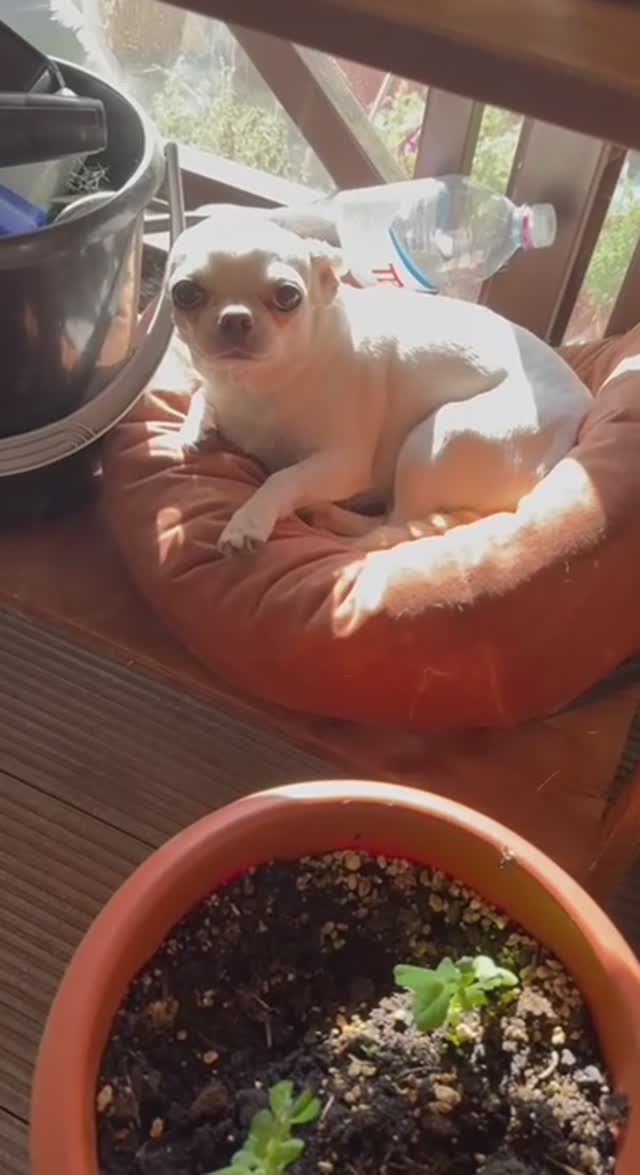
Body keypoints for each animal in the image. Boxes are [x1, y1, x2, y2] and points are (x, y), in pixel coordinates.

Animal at [166, 207, 592, 555]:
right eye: (185, 292)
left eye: (288, 296)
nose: (235, 318)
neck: (256, 383)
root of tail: (581, 409)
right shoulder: (218, 386)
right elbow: (200, 394)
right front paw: (194, 427)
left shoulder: (341, 463)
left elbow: (281, 478)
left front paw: (247, 521)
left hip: (439, 440)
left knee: (393, 524)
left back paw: (334, 519)